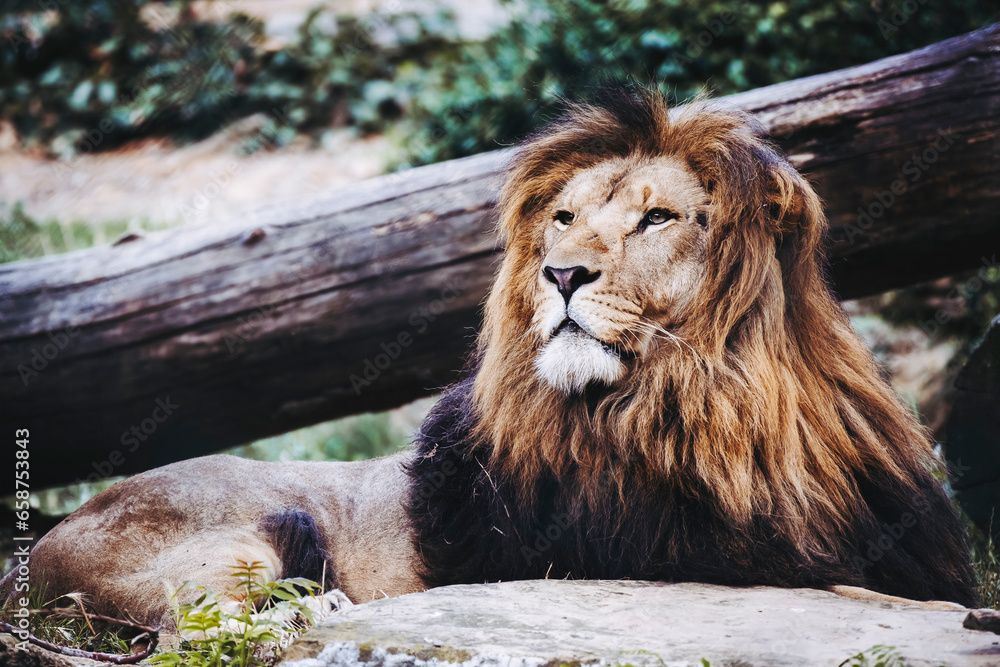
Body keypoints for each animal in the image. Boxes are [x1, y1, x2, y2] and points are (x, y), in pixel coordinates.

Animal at [1, 90, 977, 631]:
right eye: (564, 218)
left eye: (657, 217)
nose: (562, 273)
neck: (711, 407)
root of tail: (44, 541)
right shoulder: (638, 550)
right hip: (228, 543)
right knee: (191, 629)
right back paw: (317, 608)